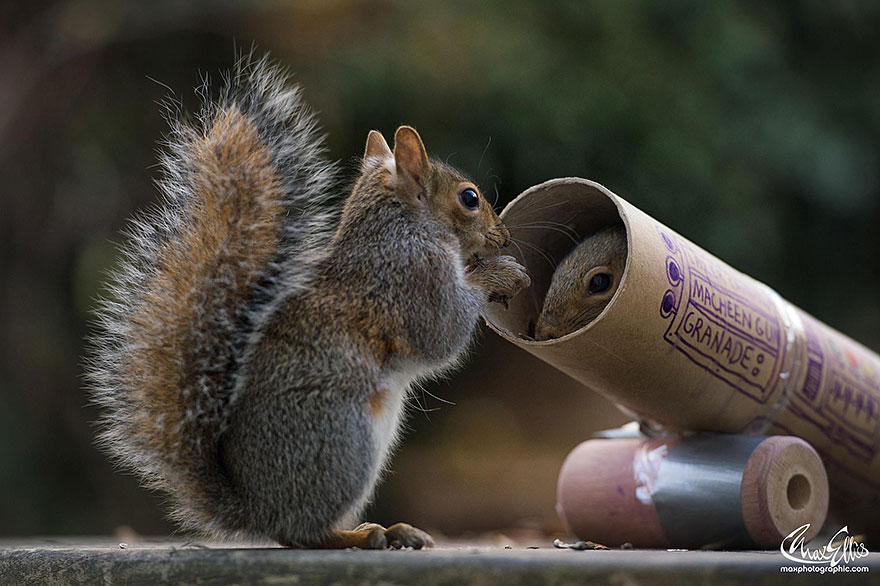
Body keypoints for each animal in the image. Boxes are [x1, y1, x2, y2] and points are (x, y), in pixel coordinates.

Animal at [86, 56, 530, 549]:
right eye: (469, 198)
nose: (503, 236)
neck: (400, 228)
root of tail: (258, 510)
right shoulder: (411, 280)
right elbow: (442, 334)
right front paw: (499, 274)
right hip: (342, 445)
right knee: (303, 534)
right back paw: (362, 536)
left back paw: (383, 529)